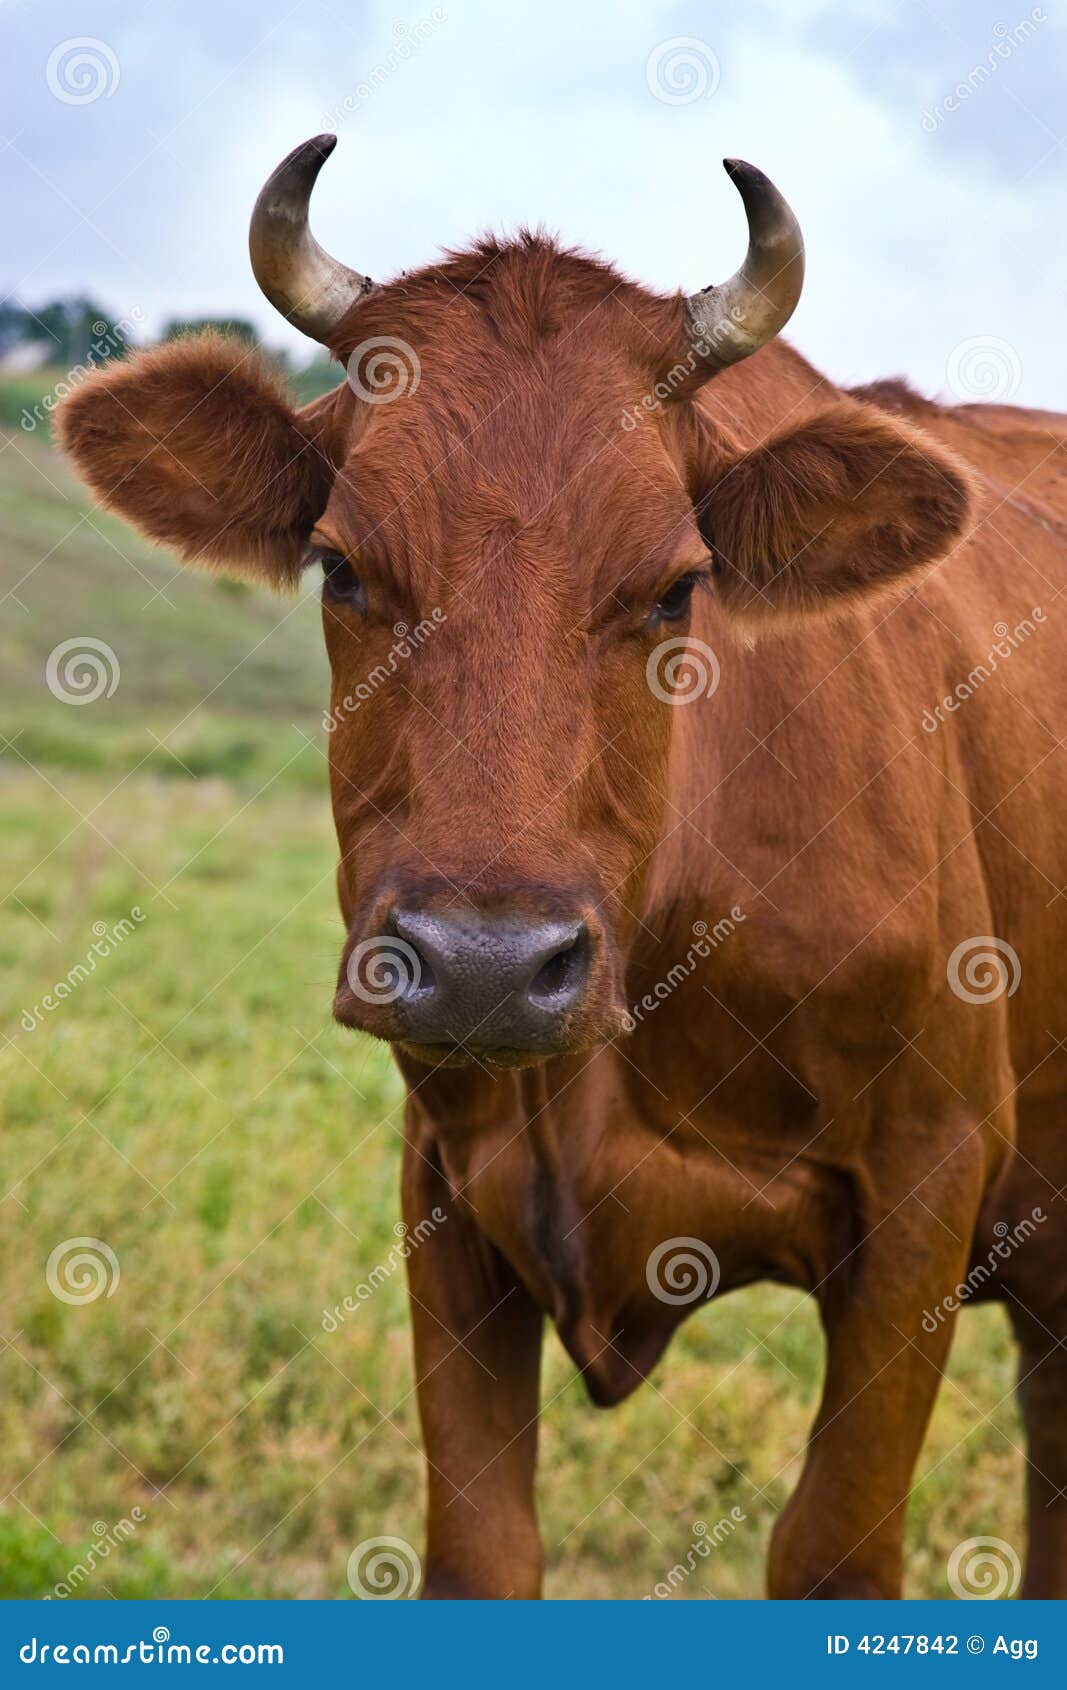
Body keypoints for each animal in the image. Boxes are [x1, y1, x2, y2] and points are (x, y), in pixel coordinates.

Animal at [57, 135, 1067, 1601]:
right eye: (339, 566)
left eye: (674, 588)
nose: (484, 964)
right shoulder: (445, 1181)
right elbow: (477, 1544)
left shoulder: (927, 1183)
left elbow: (833, 1544)